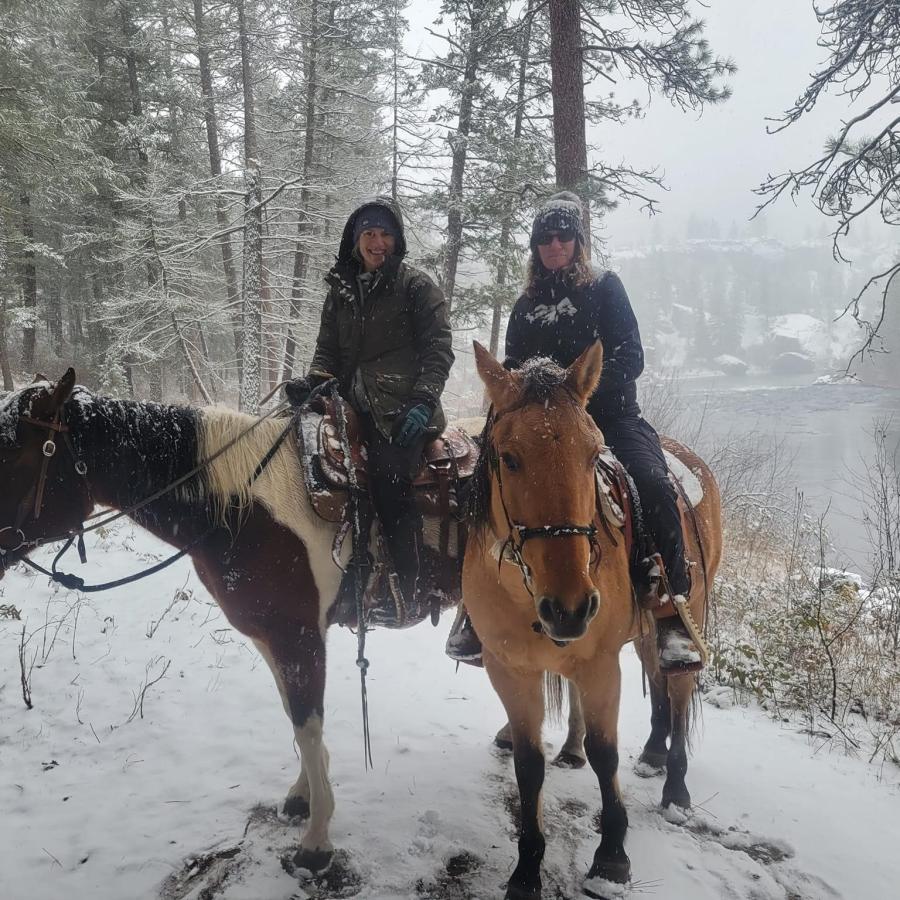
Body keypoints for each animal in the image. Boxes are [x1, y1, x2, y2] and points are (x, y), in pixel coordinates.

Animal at [0, 370, 474, 876]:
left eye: (13, 454)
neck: (239, 506)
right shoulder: (270, 635)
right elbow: (294, 716)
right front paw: (302, 797)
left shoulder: (298, 635)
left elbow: (307, 724)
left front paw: (316, 841)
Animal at [464, 342, 724, 896]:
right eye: (510, 458)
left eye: (591, 454)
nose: (571, 606)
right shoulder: (510, 669)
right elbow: (528, 764)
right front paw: (526, 869)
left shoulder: (600, 664)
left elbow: (606, 754)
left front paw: (611, 858)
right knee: (655, 674)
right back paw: (648, 751)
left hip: (688, 612)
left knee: (677, 686)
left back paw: (675, 789)